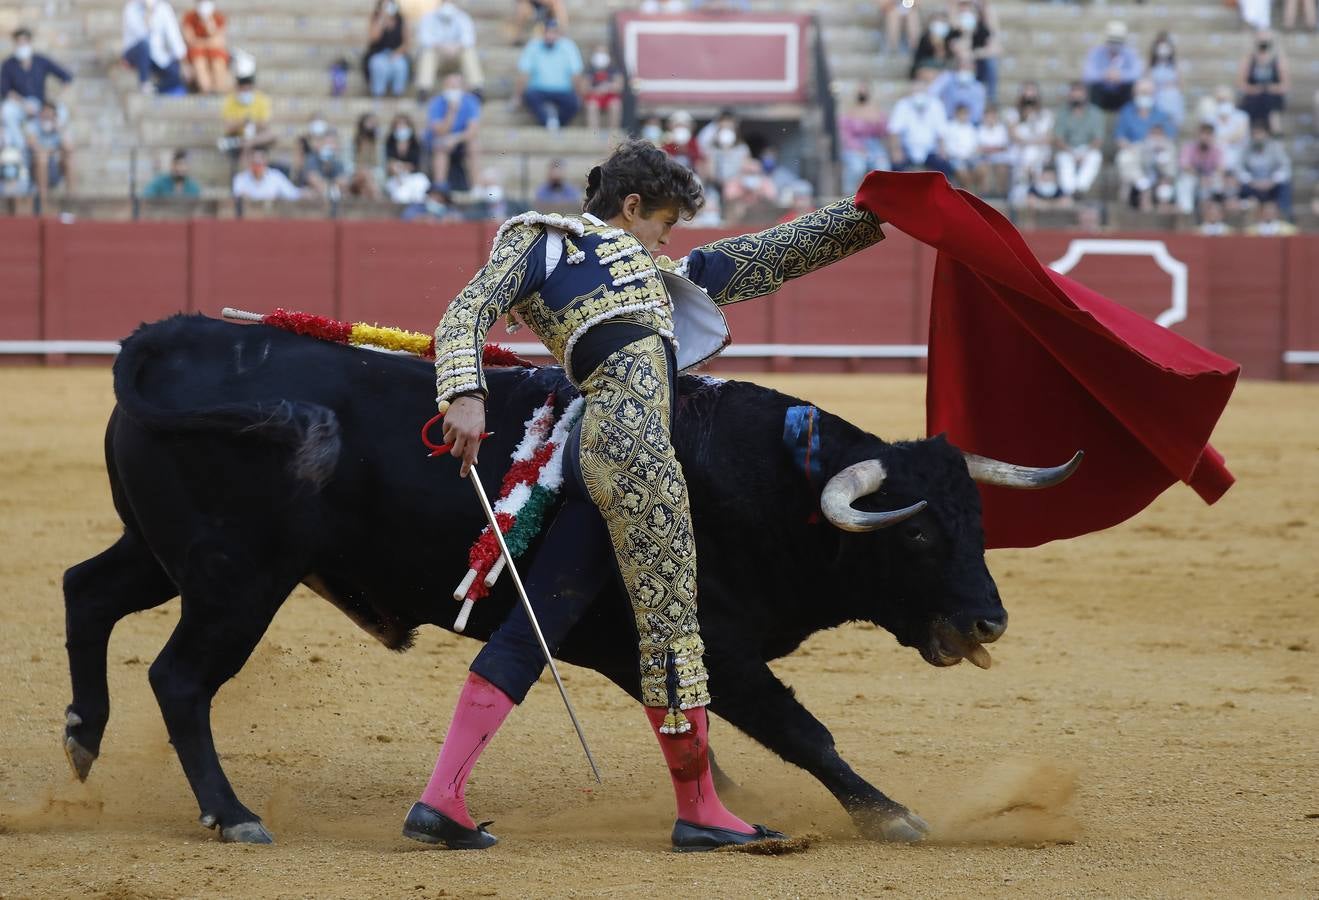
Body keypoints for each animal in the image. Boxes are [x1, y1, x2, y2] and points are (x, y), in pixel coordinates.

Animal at [59, 315, 1071, 839]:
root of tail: (169, 339)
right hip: (239, 578)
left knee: (85, 591)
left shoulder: (638, 648)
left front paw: (725, 802)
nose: (988, 622)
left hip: (164, 556)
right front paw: (889, 815)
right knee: (180, 678)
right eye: (916, 536)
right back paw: (231, 813)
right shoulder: (715, 640)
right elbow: (800, 729)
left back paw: (81, 739)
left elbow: (690, 725)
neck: (758, 479)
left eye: (978, 526)